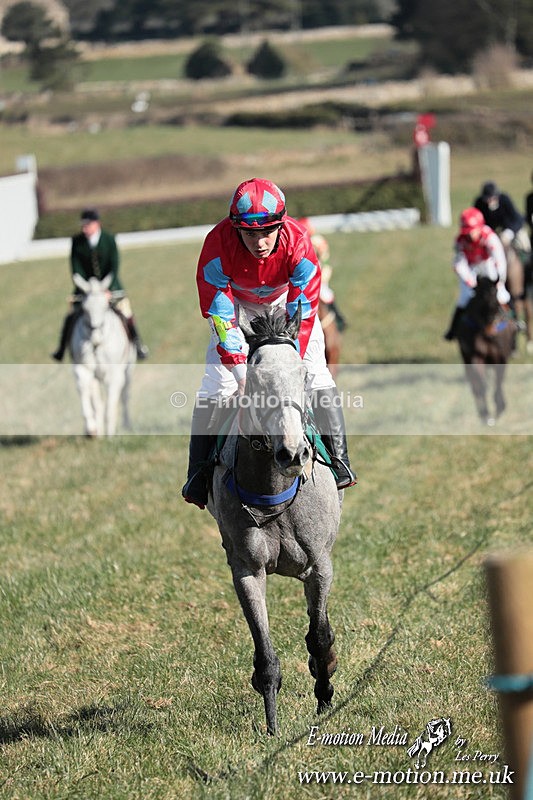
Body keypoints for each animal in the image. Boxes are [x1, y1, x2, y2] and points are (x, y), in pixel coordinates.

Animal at [70, 273, 136, 437]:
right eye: (85, 309)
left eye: (105, 307)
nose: (95, 338)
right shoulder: (83, 369)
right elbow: (85, 392)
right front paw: (92, 429)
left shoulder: (114, 374)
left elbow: (111, 406)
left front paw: (110, 434)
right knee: (97, 401)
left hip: (129, 368)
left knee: (125, 395)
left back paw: (126, 425)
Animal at [206, 305, 342, 735]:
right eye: (256, 378)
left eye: (302, 375)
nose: (293, 453)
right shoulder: (246, 570)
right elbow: (265, 653)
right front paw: (271, 727)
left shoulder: (319, 565)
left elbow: (318, 637)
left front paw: (324, 697)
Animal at [456, 276, 517, 426]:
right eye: (478, 295)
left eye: (495, 293)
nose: (490, 320)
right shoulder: (476, 357)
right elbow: (482, 385)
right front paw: (487, 415)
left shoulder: (501, 358)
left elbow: (498, 383)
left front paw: (500, 406)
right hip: (466, 359)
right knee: (474, 386)